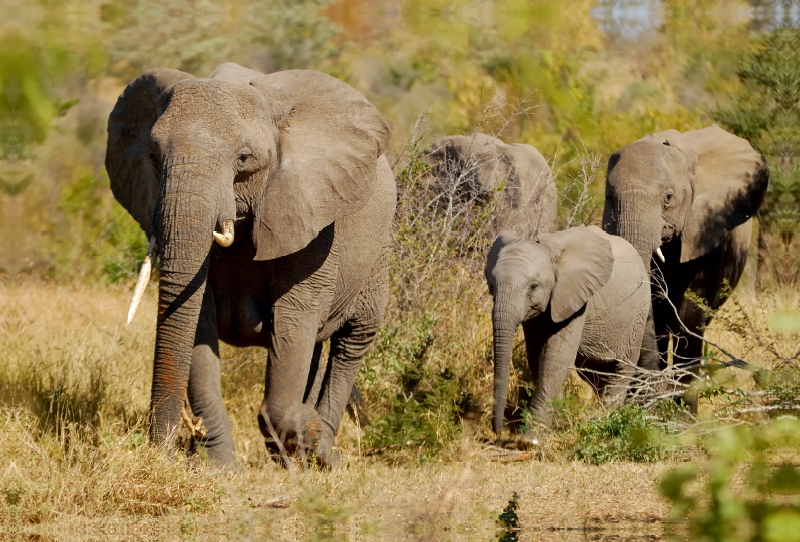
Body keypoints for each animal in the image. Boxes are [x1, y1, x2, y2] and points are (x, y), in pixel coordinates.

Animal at [105, 63, 394, 470]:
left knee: (352, 341)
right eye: (153, 154)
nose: (162, 451)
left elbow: (295, 319)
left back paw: (322, 453)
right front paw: (221, 468)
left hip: (376, 258)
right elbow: (198, 322)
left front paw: (307, 435)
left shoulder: (312, 221)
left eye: (244, 158)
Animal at [484, 225, 652, 434]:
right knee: (595, 373)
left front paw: (531, 436)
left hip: (638, 315)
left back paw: (607, 418)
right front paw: (556, 417)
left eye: (533, 287)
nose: (498, 430)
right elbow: (537, 359)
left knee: (621, 368)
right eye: (492, 286)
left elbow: (556, 360)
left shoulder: (575, 298)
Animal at [608, 125, 768, 410]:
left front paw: (681, 415)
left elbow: (691, 313)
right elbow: (656, 306)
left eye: (668, 197)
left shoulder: (708, 229)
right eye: (609, 197)